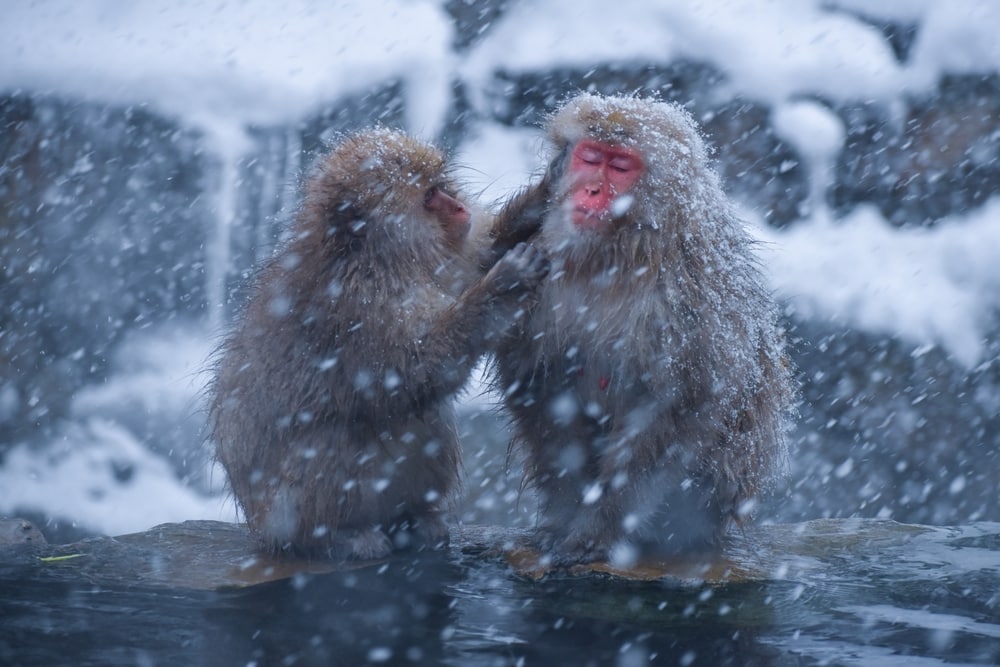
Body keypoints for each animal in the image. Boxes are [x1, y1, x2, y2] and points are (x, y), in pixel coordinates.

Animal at [209, 128, 549, 560]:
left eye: (441, 185)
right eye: (430, 196)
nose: (459, 208)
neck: (378, 258)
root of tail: (262, 528)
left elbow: (476, 259)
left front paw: (549, 189)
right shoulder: (362, 307)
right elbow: (415, 368)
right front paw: (504, 283)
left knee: (430, 420)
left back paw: (413, 519)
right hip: (283, 512)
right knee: (336, 435)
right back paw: (336, 536)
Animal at [492, 93, 797, 565]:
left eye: (620, 167)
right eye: (590, 157)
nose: (591, 190)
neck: (610, 253)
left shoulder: (690, 289)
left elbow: (677, 404)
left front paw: (595, 531)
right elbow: (539, 382)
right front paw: (565, 514)